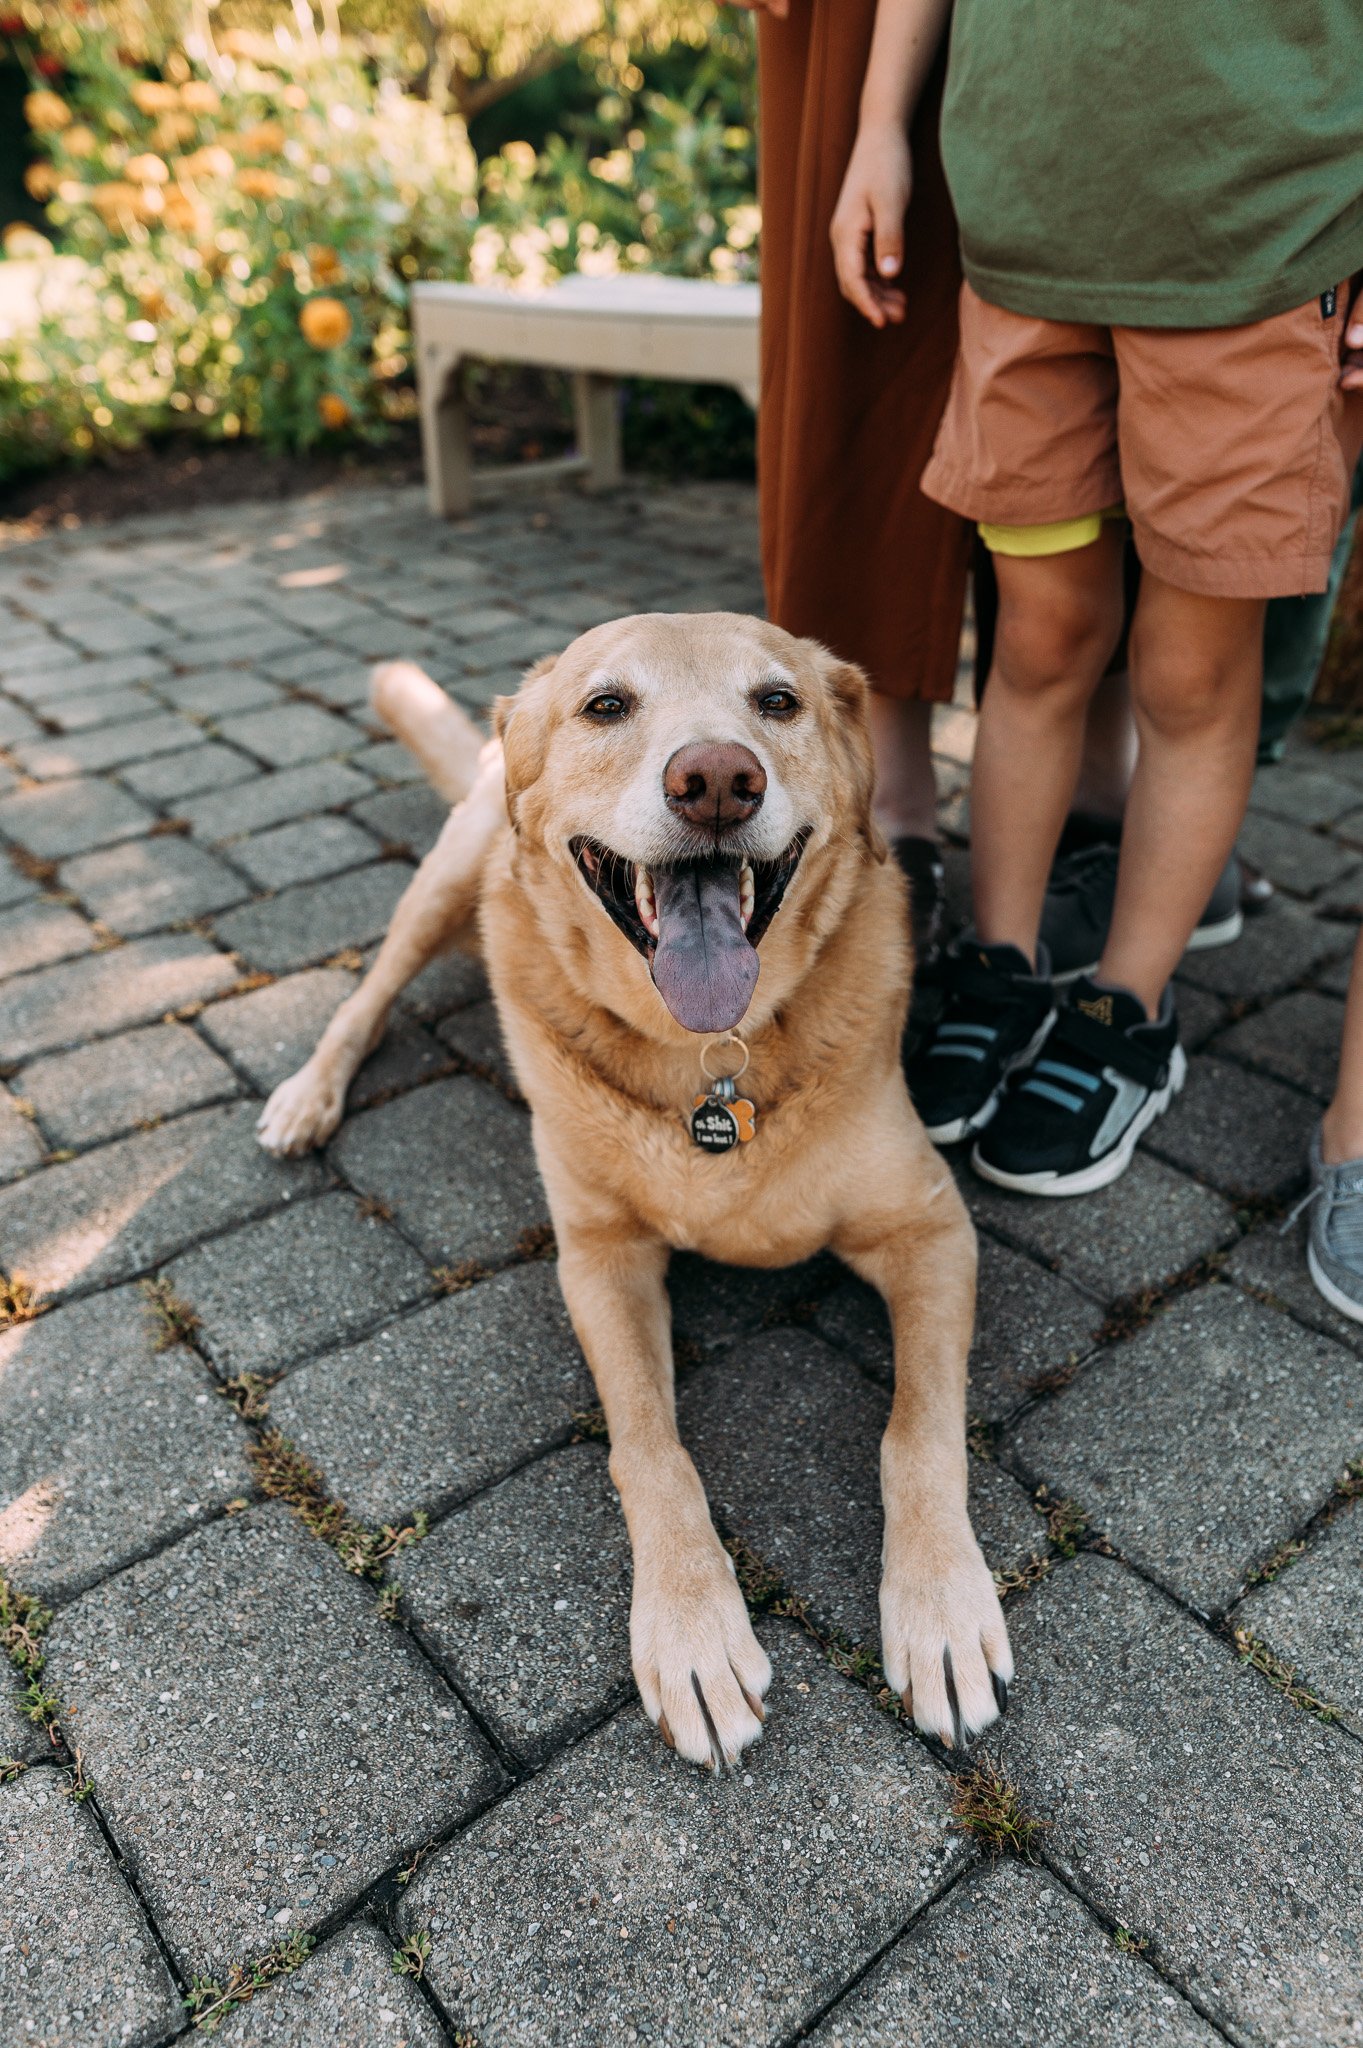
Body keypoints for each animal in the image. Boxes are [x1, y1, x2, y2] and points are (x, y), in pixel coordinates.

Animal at [257, 614, 1006, 1769]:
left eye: (777, 702)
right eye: (606, 705)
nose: (717, 781)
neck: (711, 1063)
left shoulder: (929, 1225)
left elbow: (917, 1433)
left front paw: (941, 1610)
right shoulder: (599, 1257)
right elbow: (650, 1451)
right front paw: (694, 1631)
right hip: (442, 885)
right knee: (364, 996)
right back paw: (308, 1095)